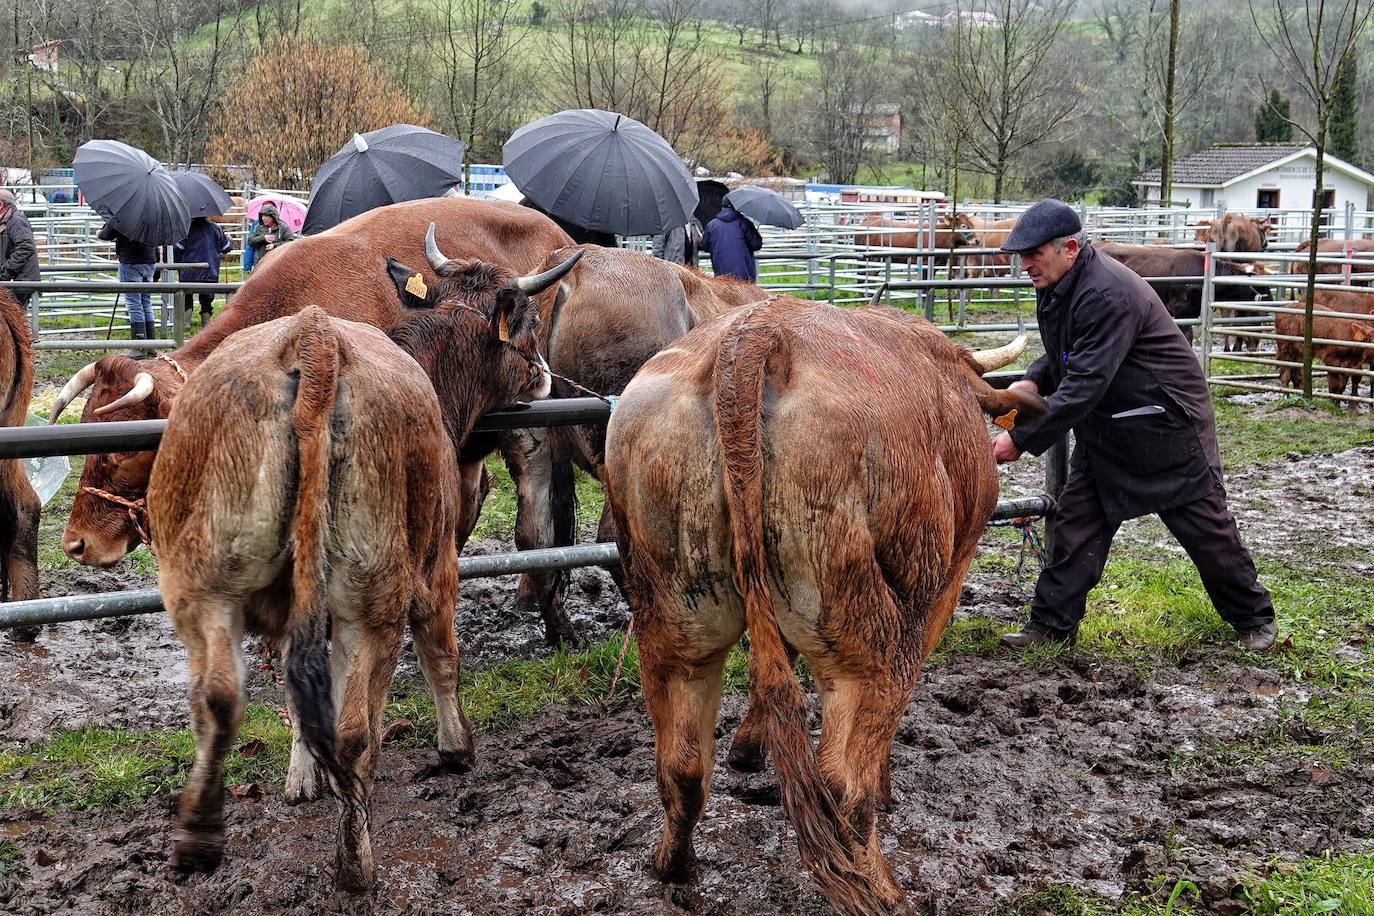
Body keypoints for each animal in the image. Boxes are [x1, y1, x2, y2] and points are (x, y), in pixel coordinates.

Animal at [147, 225, 560, 889]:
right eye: (526, 319)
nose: (544, 375)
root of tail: (314, 340)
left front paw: (301, 777)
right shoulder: (436, 567)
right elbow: (440, 655)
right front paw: (455, 747)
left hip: (206, 592)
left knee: (217, 702)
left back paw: (198, 839)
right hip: (375, 601)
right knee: (353, 730)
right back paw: (356, 860)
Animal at [601, 298, 1038, 911]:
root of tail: (755, 334)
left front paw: (748, 745)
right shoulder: (942, 588)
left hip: (675, 618)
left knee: (683, 763)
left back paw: (673, 865)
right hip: (866, 638)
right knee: (842, 782)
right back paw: (880, 885)